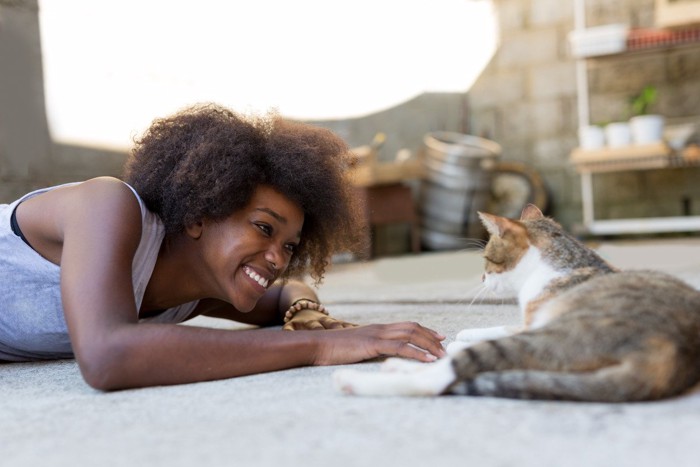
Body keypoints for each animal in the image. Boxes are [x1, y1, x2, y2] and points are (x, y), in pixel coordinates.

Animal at [332, 207, 700, 404]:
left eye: (487, 258)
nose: (481, 277)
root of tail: (674, 354)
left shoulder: (531, 322)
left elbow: (480, 334)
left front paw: (457, 338)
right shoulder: (528, 321)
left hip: (557, 337)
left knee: (446, 375)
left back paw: (364, 379)